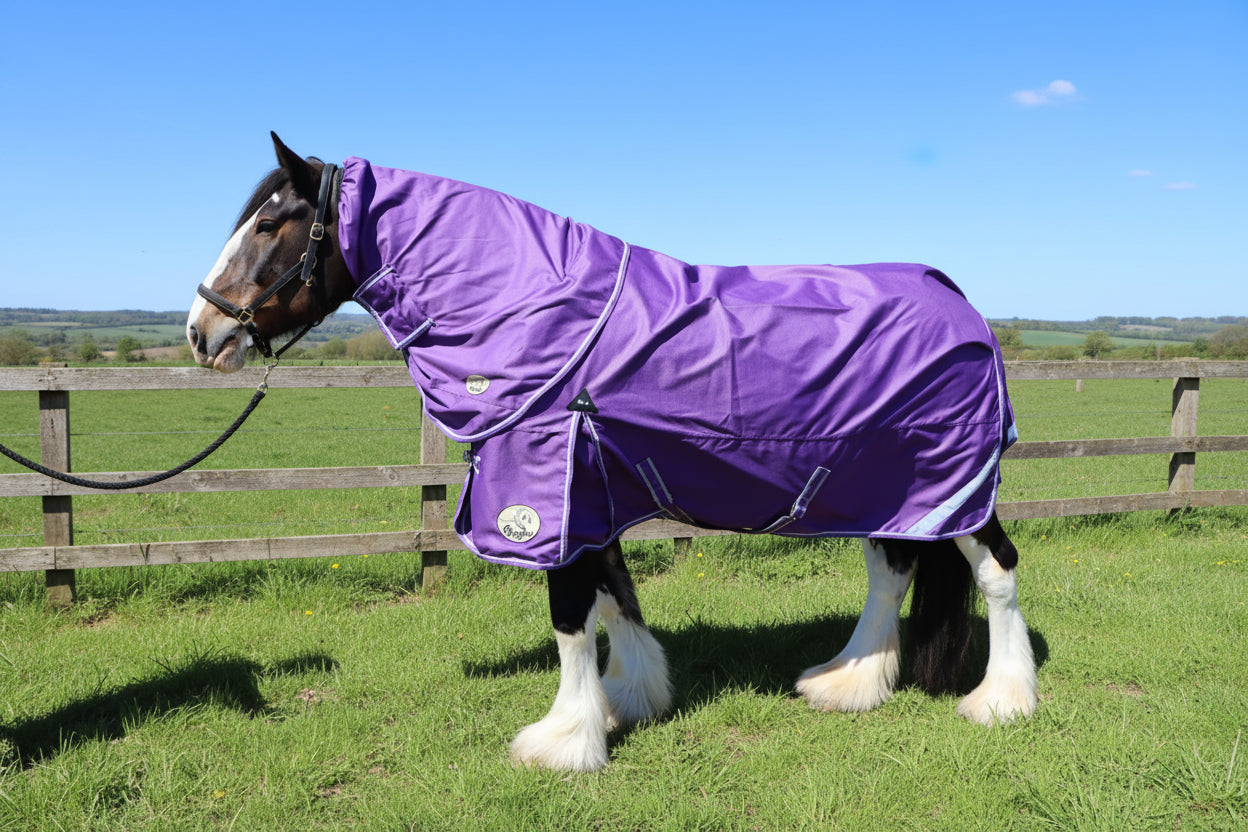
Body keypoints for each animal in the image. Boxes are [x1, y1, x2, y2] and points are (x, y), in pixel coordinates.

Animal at [187, 133, 1038, 772]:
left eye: (269, 225)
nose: (204, 331)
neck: (536, 310)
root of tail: (957, 299)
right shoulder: (587, 494)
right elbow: (613, 595)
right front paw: (630, 700)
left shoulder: (546, 490)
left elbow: (570, 614)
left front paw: (563, 741)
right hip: (882, 488)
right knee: (889, 571)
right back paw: (849, 682)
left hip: (954, 485)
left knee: (996, 569)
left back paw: (1002, 700)